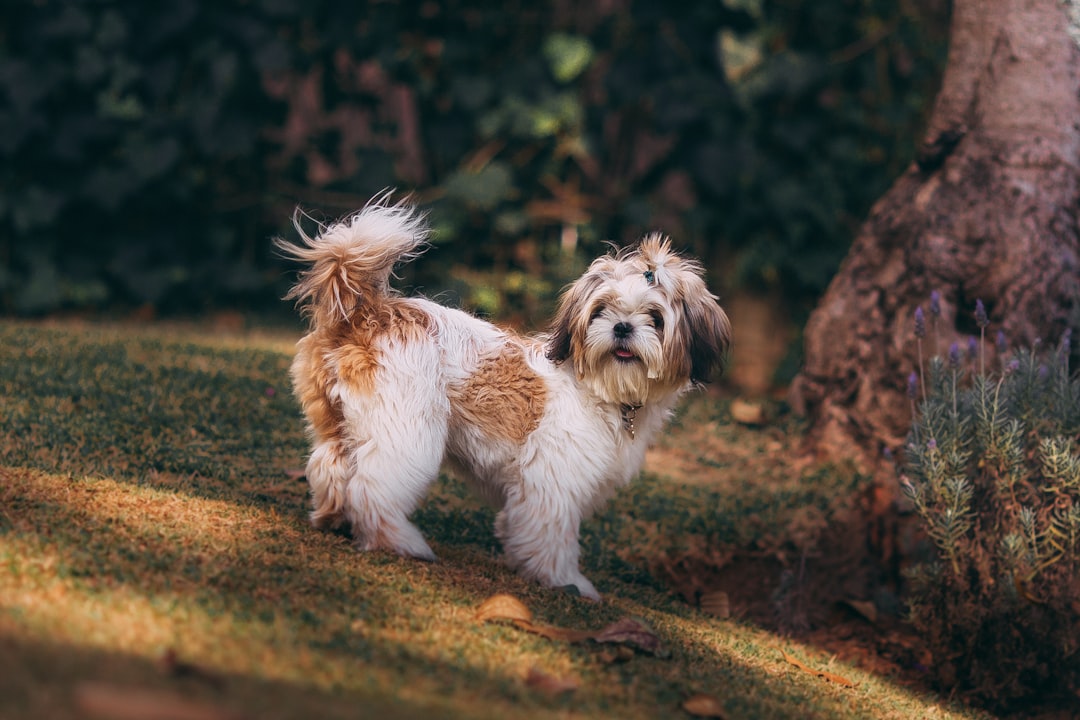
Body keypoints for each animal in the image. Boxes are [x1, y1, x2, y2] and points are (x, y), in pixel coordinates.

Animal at [278, 194, 734, 600]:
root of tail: (367, 314)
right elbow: (551, 535)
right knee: (374, 486)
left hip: (340, 419)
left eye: (656, 318)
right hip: (406, 430)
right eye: (601, 310)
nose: (622, 327)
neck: (601, 388)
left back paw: (334, 517)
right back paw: (400, 541)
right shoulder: (553, 479)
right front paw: (566, 581)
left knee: (331, 466)